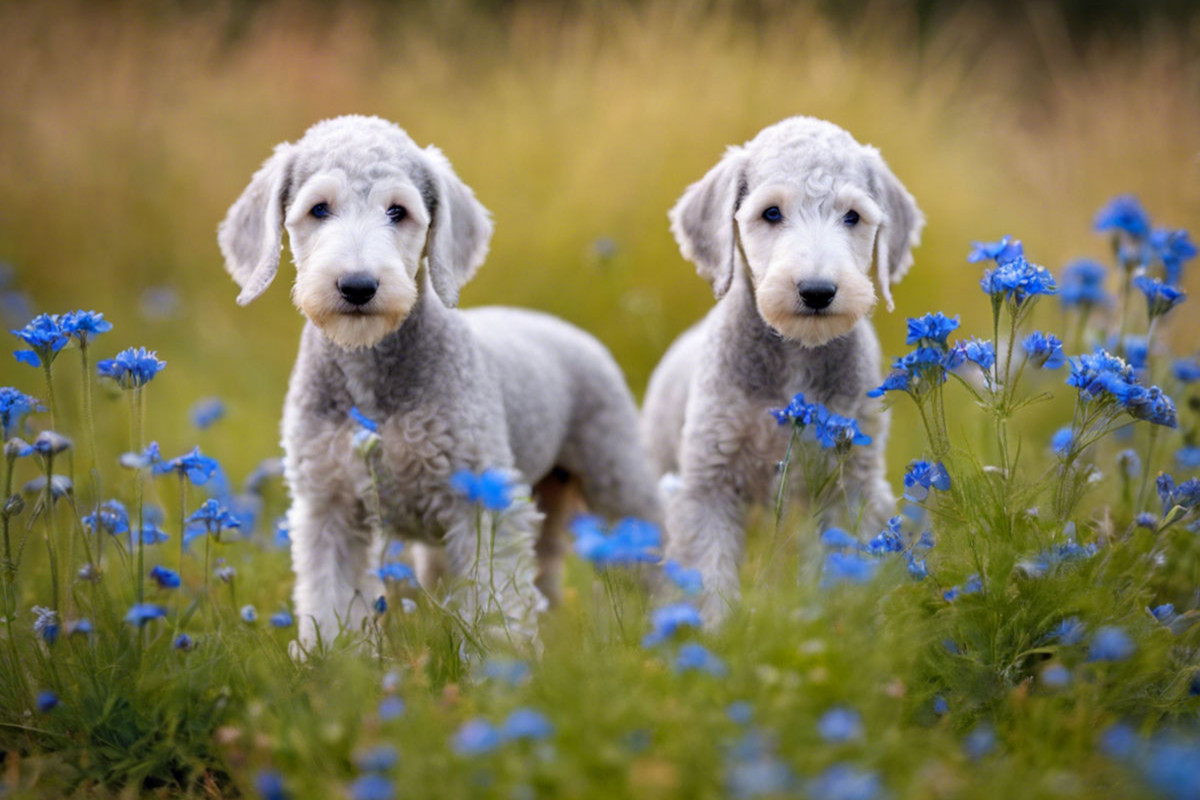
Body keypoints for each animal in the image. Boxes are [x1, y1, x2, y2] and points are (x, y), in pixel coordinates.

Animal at [220, 113, 662, 652]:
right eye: (318, 209)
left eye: (398, 211)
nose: (358, 286)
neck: (372, 377)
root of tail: (562, 327)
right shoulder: (328, 506)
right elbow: (329, 601)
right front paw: (330, 661)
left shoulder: (484, 504)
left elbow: (497, 605)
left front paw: (498, 665)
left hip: (616, 473)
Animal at [643, 115, 921, 623]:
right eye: (771, 213)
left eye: (853, 216)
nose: (817, 291)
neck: (795, 355)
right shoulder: (707, 486)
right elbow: (708, 578)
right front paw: (710, 634)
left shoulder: (852, 485)